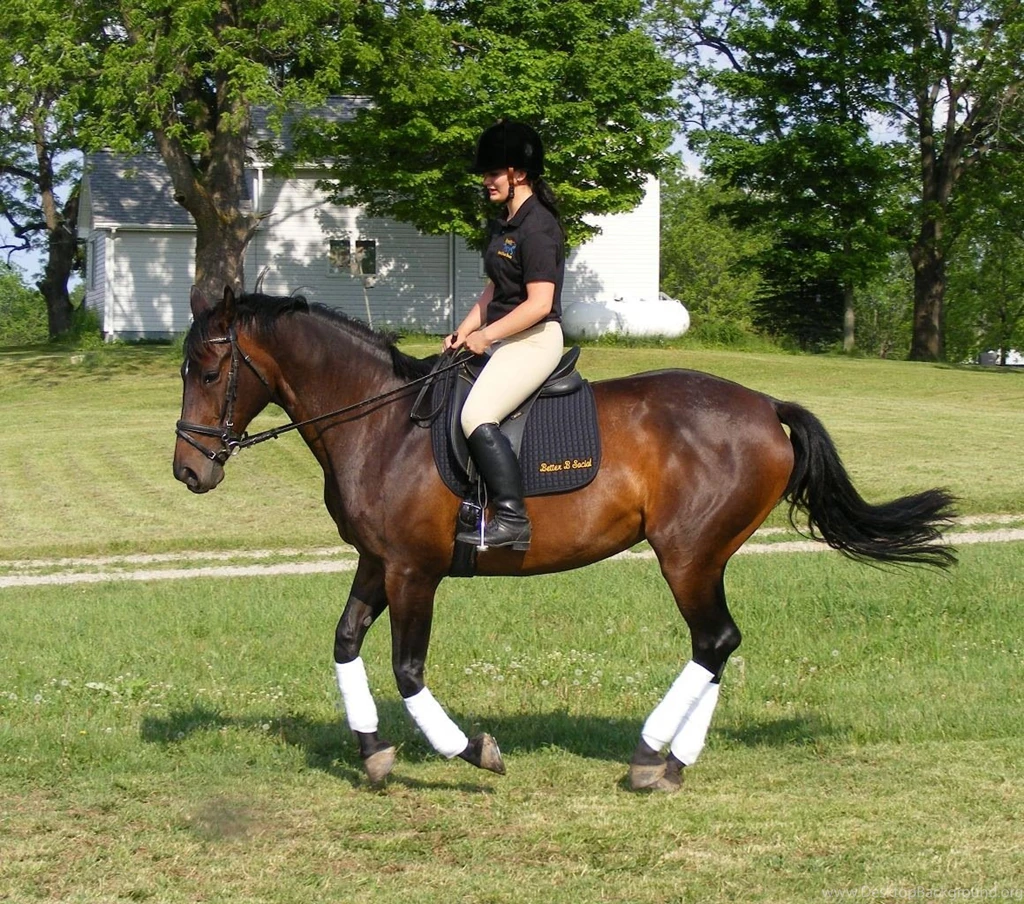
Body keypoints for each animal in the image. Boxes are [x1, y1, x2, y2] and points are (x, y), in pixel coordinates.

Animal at [173, 286, 956, 792]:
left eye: (208, 372)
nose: (187, 471)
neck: (380, 423)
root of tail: (766, 407)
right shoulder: (378, 561)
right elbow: (344, 644)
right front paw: (372, 752)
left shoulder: (414, 571)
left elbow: (408, 670)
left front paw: (473, 751)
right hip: (705, 555)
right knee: (719, 644)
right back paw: (674, 760)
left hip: (688, 555)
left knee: (715, 639)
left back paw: (653, 757)